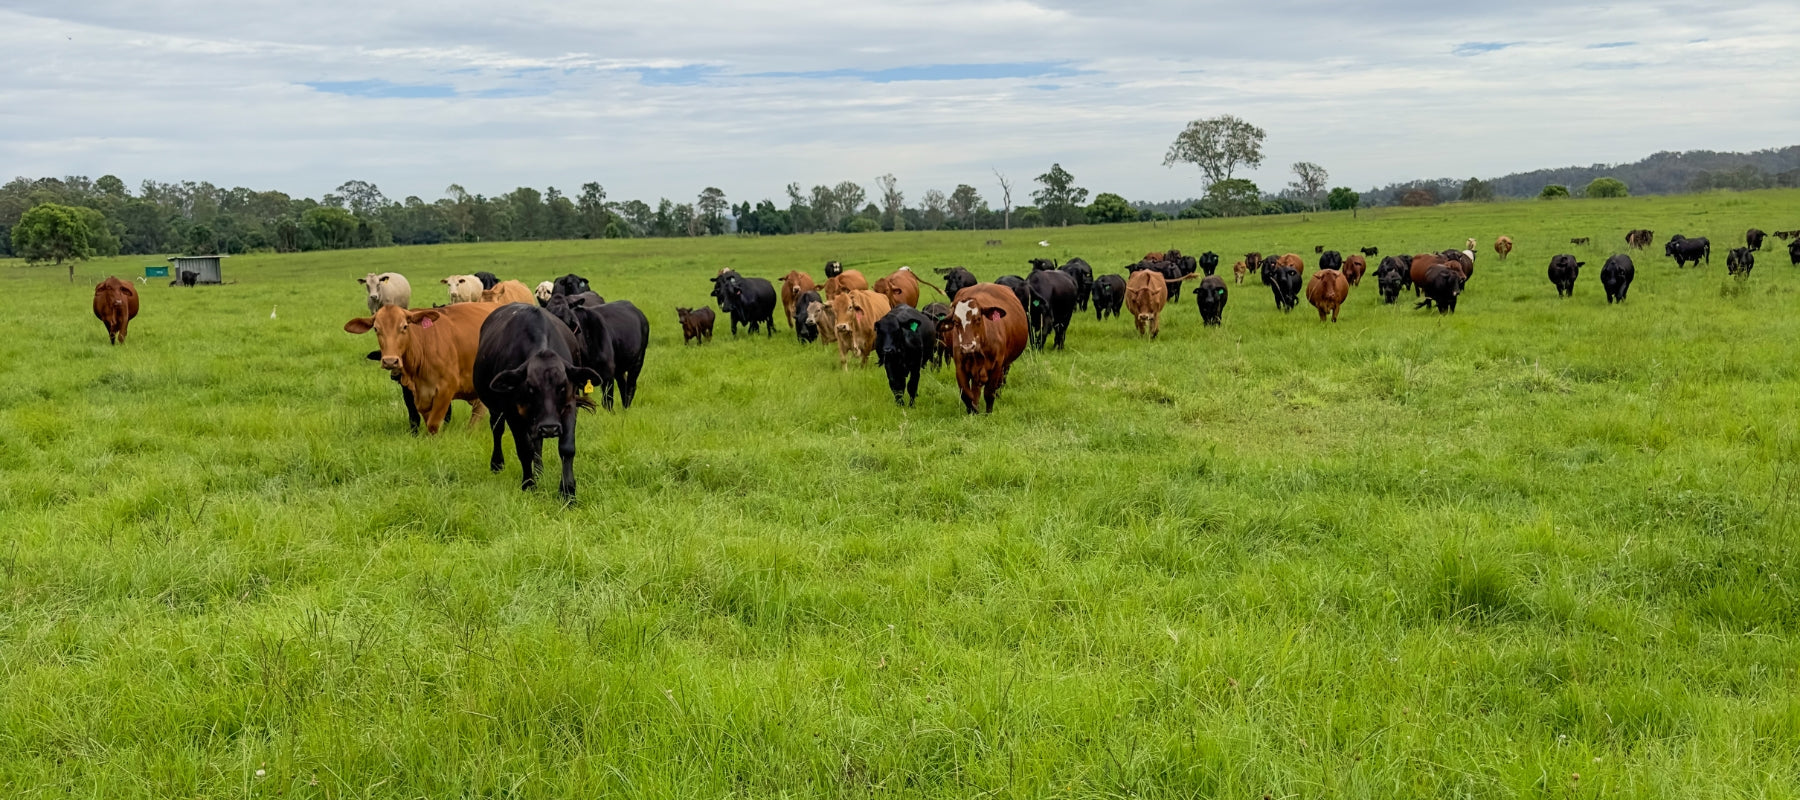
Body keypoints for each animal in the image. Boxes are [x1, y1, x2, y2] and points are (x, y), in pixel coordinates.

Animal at [343, 300, 496, 437]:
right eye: (376, 329)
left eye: (405, 327)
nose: (390, 361)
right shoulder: (419, 396)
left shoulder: (446, 389)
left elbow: (433, 424)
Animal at [475, 304, 601, 500]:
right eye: (531, 387)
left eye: (562, 386)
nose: (550, 428)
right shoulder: (512, 413)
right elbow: (524, 449)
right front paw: (529, 484)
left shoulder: (569, 407)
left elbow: (566, 448)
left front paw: (568, 492)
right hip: (497, 410)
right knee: (497, 429)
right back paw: (497, 464)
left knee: (537, 441)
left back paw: (540, 471)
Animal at [943, 284, 1029, 416]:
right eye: (955, 322)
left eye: (978, 318)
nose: (968, 347)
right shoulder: (960, 367)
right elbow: (966, 394)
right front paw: (973, 411)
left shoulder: (997, 366)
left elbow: (989, 393)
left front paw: (988, 413)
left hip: (1006, 365)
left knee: (1000, 383)